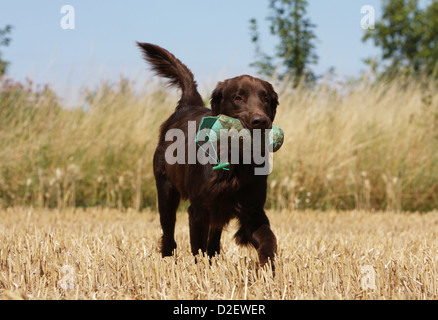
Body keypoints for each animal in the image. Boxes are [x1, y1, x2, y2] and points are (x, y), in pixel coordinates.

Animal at [139, 42, 278, 268]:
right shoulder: (198, 210)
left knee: (214, 236)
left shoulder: (252, 209)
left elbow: (268, 239)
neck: (236, 160)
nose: (260, 121)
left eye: (266, 98)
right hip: (166, 190)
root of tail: (187, 105)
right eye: (238, 97)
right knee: (168, 232)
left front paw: (267, 267)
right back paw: (167, 259)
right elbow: (198, 247)